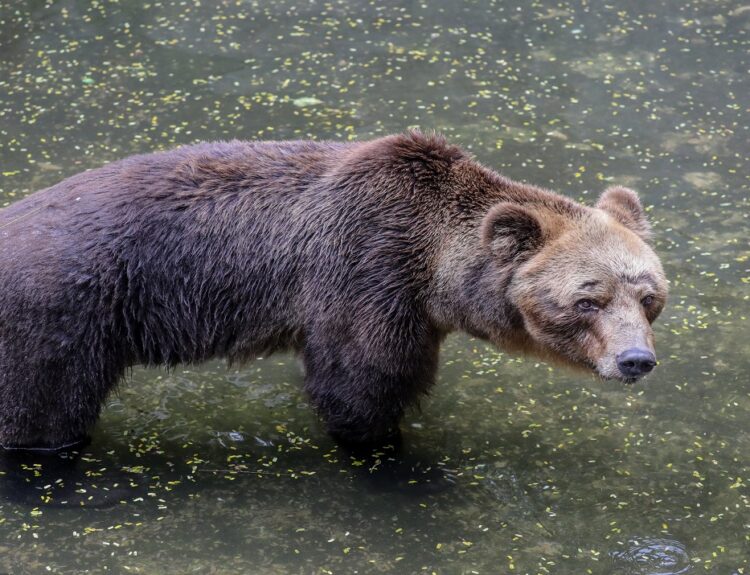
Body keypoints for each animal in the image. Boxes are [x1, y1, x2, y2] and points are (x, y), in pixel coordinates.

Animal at [0, 133, 668, 452]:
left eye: (649, 297)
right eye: (588, 299)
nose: (636, 359)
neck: (434, 269)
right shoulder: (369, 275)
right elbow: (360, 385)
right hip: (61, 316)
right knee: (43, 414)